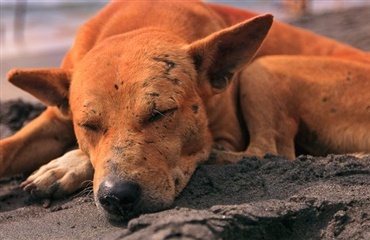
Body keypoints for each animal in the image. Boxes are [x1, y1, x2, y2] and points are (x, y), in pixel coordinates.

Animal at [0, 0, 370, 220]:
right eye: (87, 125)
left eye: (161, 113)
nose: (117, 197)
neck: (138, 23)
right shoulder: (55, 118)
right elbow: (9, 148)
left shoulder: (228, 133)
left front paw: (65, 165)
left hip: (261, 69)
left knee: (269, 151)